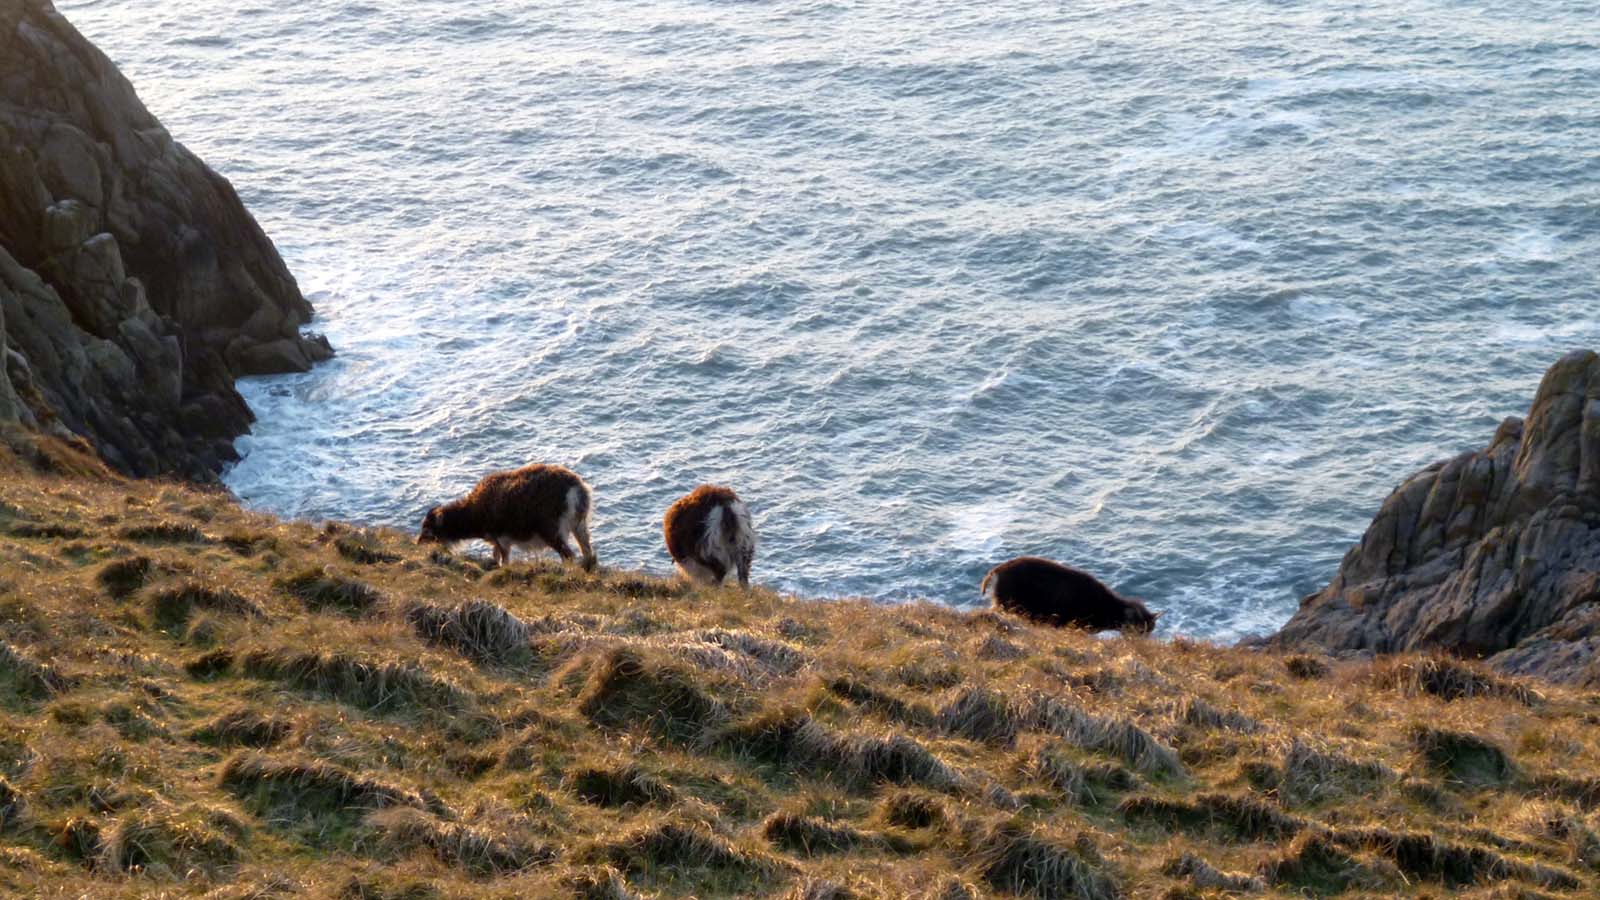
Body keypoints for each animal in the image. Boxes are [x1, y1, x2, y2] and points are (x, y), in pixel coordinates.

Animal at [422, 461, 598, 566]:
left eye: (428, 529)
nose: (418, 545)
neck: (474, 514)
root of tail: (577, 490)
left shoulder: (502, 540)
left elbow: (504, 561)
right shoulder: (496, 541)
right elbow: (495, 557)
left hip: (553, 531)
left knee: (568, 556)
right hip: (579, 525)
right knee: (587, 552)